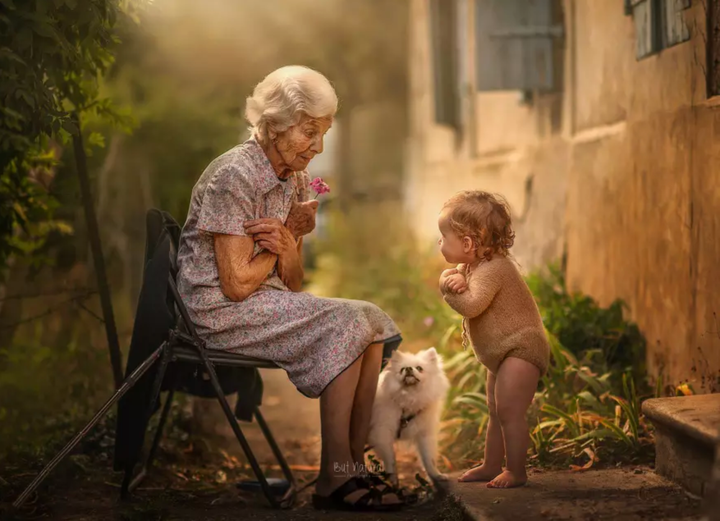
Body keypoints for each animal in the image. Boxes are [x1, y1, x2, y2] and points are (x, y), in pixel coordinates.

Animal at [368, 348, 448, 486]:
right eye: (402, 369)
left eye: (419, 368)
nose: (409, 368)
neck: (410, 398)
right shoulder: (382, 434)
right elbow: (391, 460)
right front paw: (394, 482)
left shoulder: (424, 435)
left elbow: (429, 459)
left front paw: (436, 476)